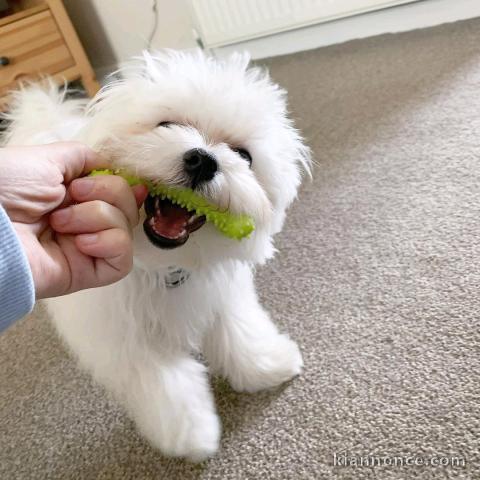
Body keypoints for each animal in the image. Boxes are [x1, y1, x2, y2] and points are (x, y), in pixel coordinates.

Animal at [2, 50, 312, 460]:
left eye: (243, 155)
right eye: (167, 124)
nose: (203, 160)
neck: (164, 265)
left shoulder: (221, 296)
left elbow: (240, 330)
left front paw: (266, 365)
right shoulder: (127, 339)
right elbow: (165, 383)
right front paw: (192, 434)